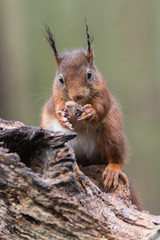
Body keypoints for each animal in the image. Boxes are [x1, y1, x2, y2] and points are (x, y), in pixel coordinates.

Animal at [41, 24, 129, 189]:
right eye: (61, 79)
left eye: (89, 74)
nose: (77, 96)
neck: (80, 103)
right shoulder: (57, 96)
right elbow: (57, 107)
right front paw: (63, 117)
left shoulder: (103, 92)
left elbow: (102, 106)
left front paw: (91, 113)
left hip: (112, 132)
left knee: (117, 156)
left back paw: (113, 170)